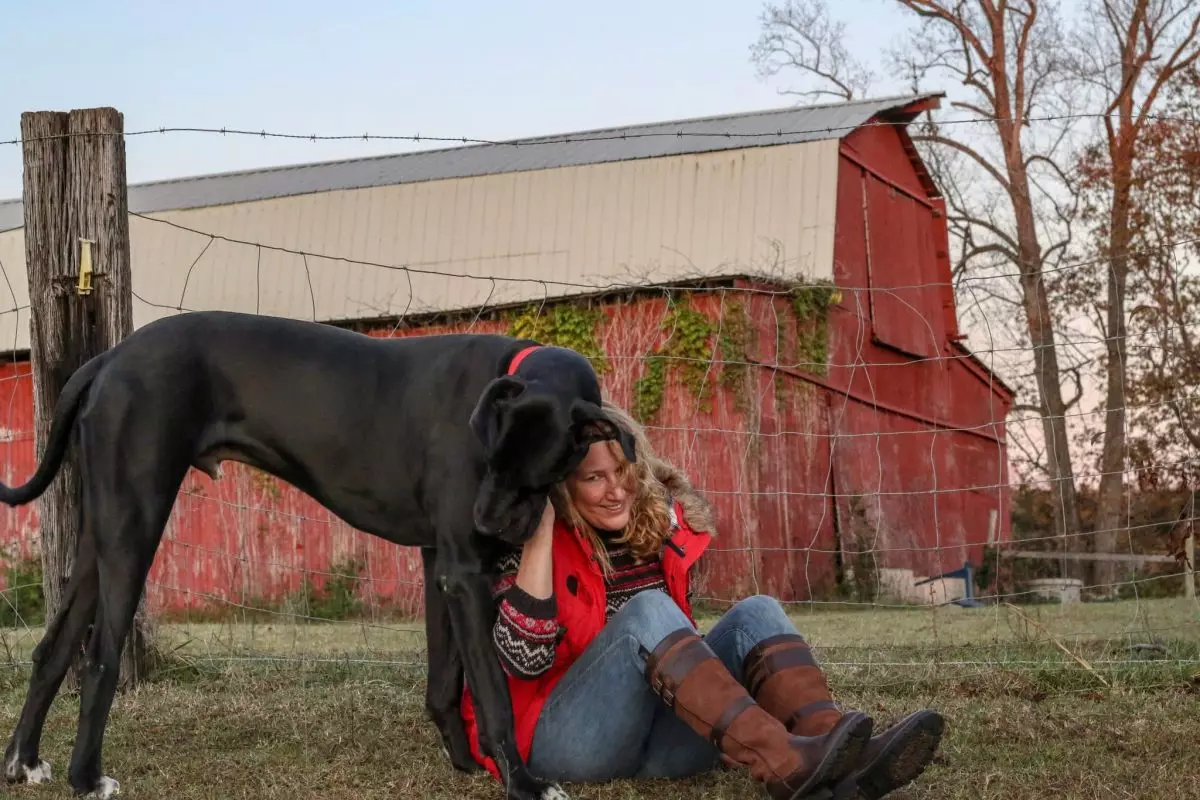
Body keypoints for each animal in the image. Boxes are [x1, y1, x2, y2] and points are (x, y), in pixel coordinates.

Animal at [0, 311, 633, 800]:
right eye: (494, 459)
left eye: (539, 473)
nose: (488, 525)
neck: (515, 370)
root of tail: (108, 358)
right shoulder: (465, 569)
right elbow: (491, 692)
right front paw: (522, 782)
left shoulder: (442, 563)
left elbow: (445, 681)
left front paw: (463, 762)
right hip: (135, 526)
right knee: (99, 657)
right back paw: (88, 778)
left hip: (99, 536)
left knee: (54, 648)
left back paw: (24, 761)